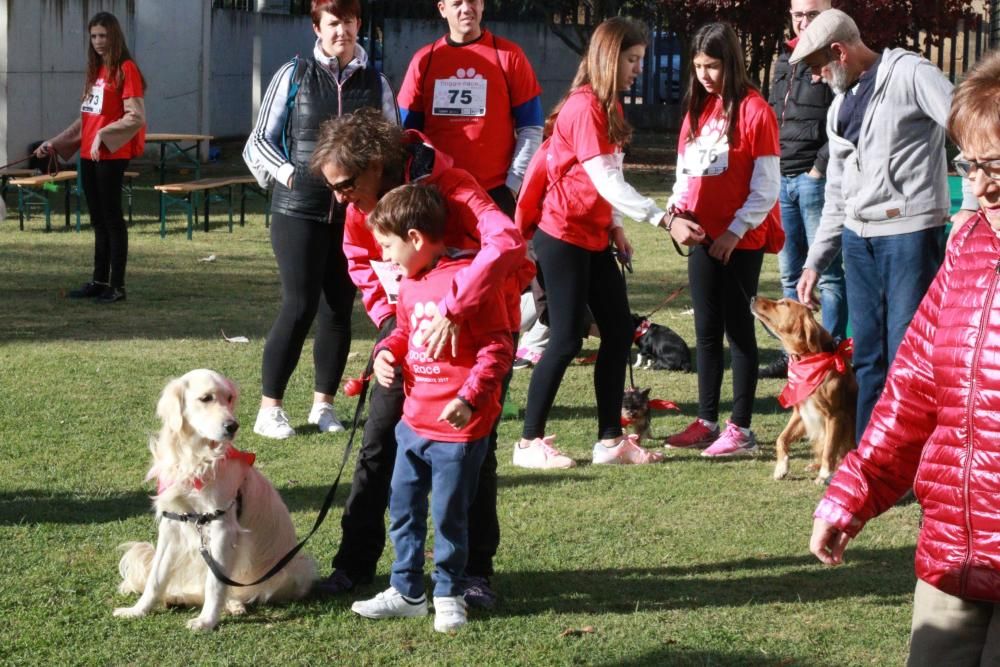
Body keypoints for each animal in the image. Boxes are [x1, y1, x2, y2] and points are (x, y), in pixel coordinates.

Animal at [113, 368, 316, 636]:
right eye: (206, 398)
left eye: (229, 398)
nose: (233, 426)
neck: (195, 459)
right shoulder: (171, 524)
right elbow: (155, 578)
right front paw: (138, 610)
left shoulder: (221, 526)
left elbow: (215, 584)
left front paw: (207, 620)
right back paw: (178, 597)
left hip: (301, 566)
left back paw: (231, 605)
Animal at [752, 298, 856, 486]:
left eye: (783, 304)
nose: (752, 298)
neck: (808, 359)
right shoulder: (801, 411)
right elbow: (781, 438)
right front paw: (781, 467)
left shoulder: (835, 415)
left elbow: (829, 448)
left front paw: (824, 474)